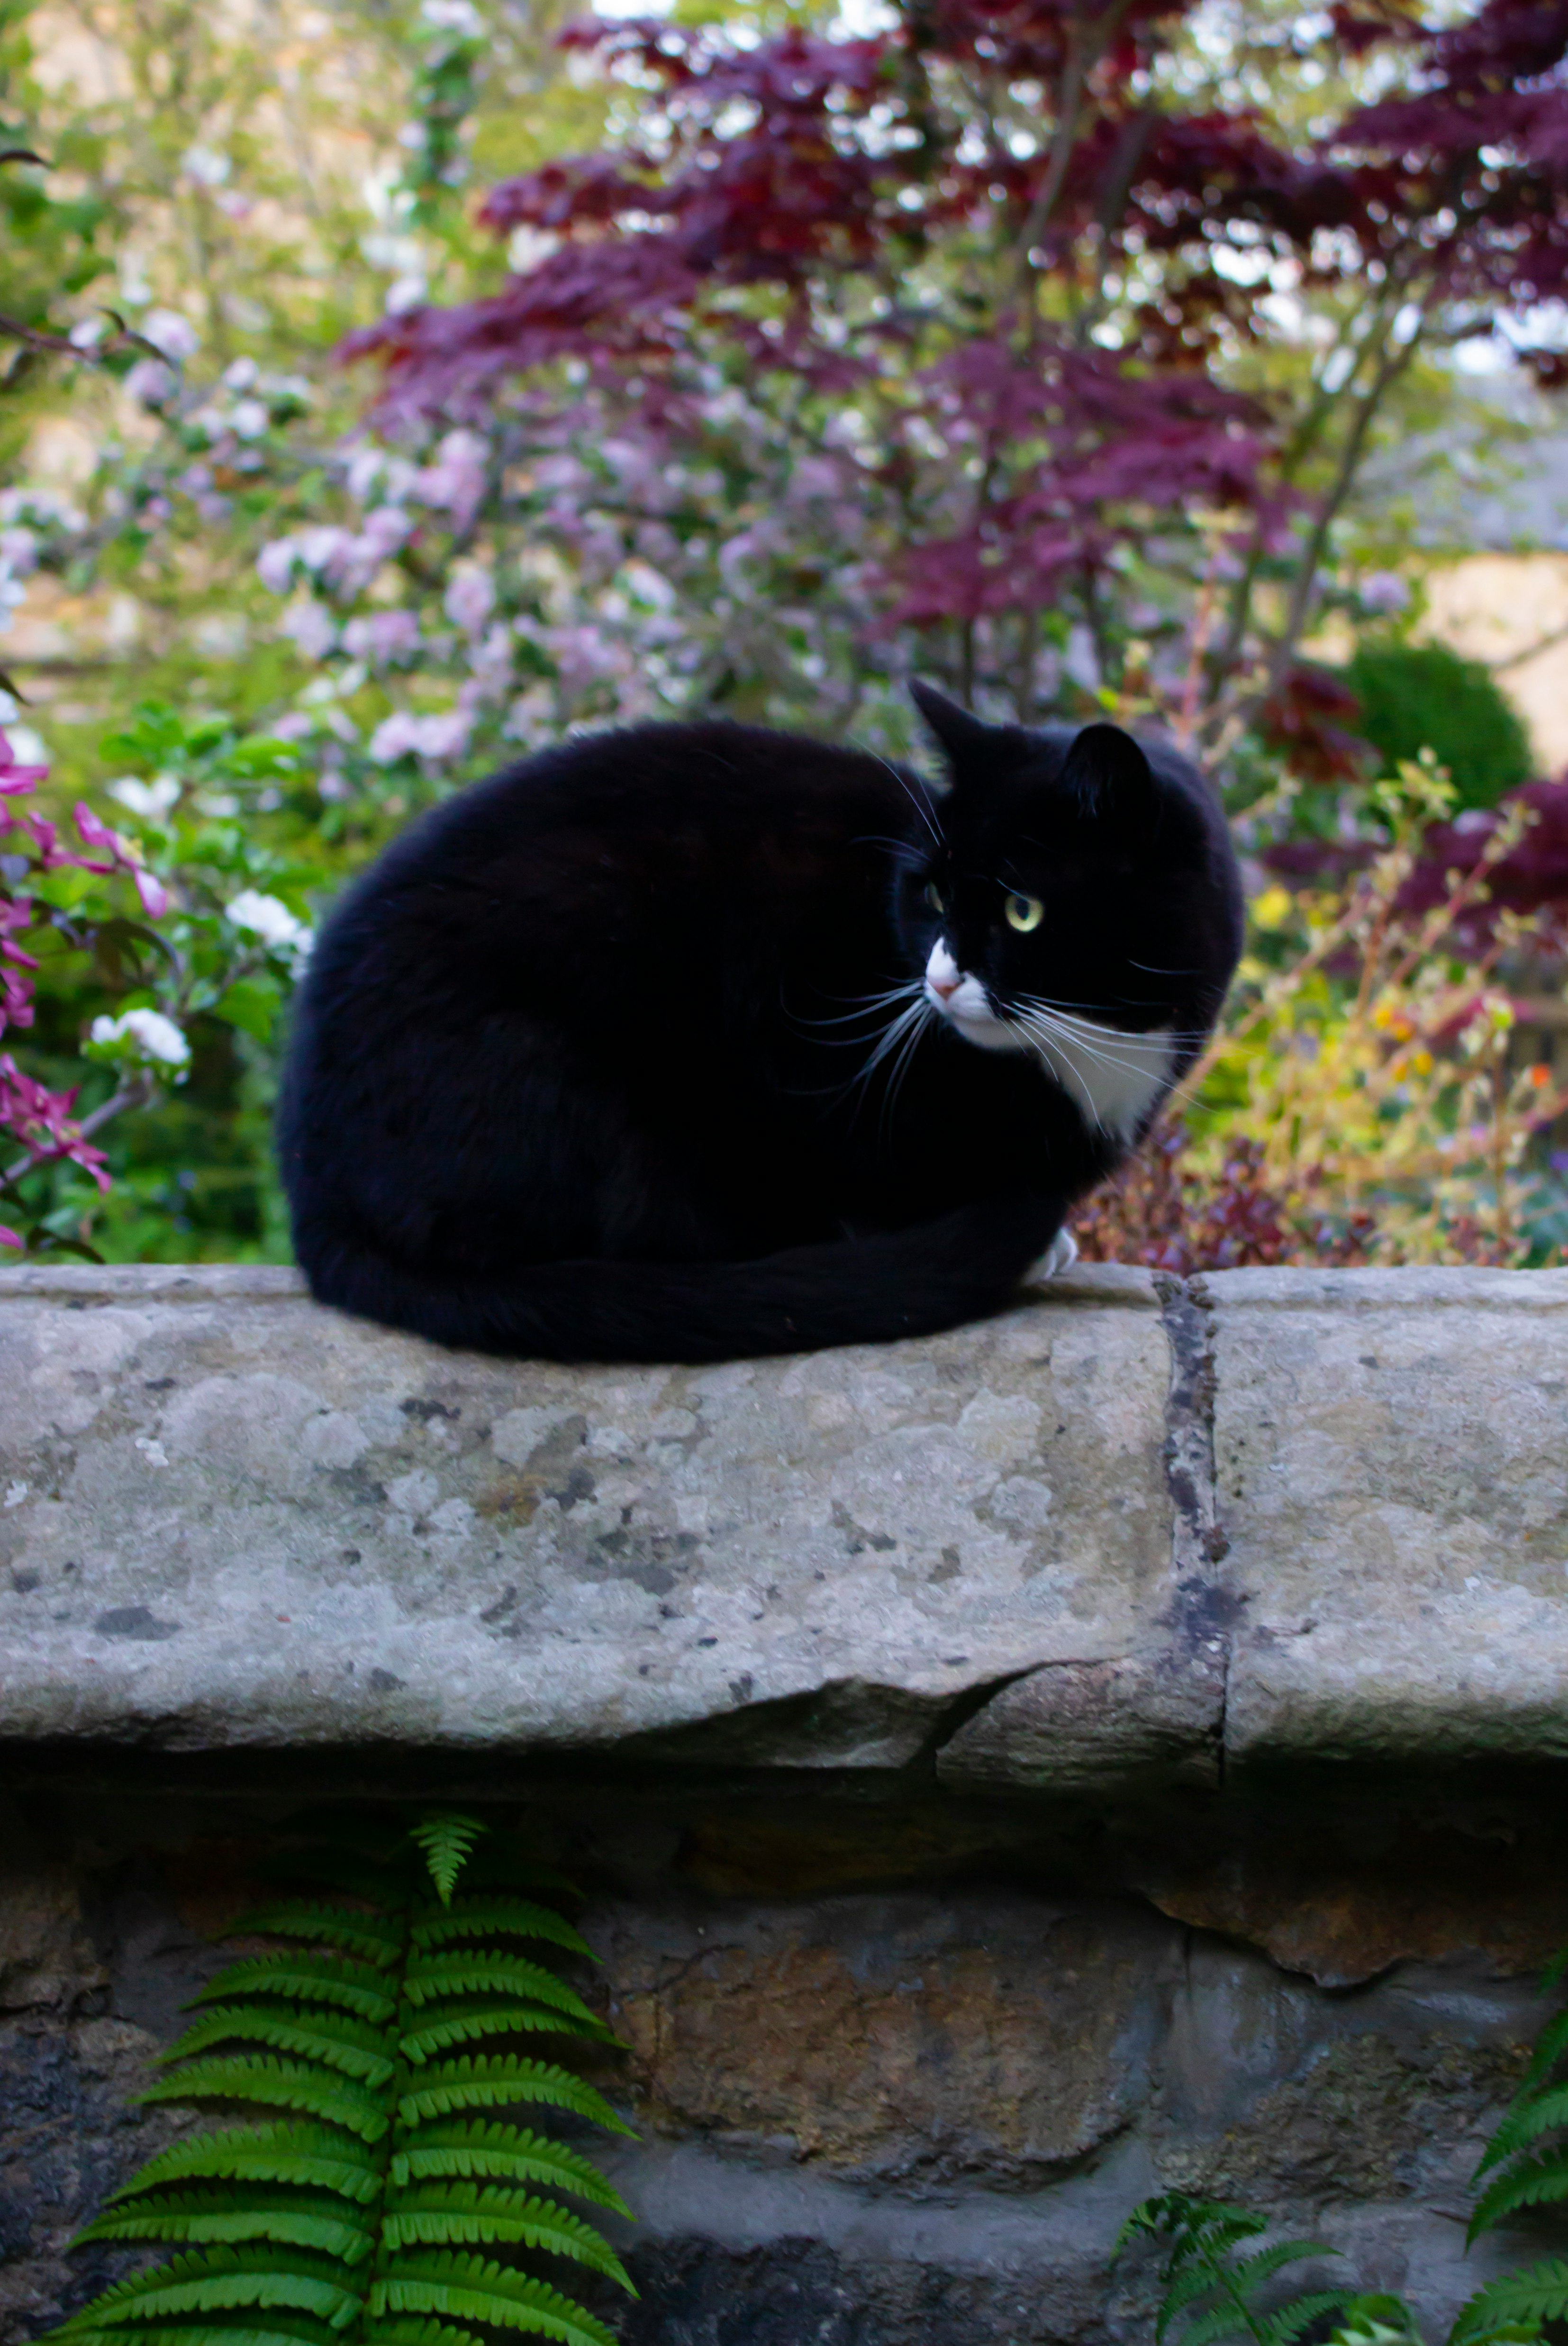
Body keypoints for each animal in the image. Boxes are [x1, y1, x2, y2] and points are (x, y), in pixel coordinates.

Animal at [278, 680, 1239, 1370]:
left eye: (1022, 911)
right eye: (929, 894)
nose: (937, 979)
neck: (1089, 1044)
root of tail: (315, 1199)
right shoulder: (794, 1032)